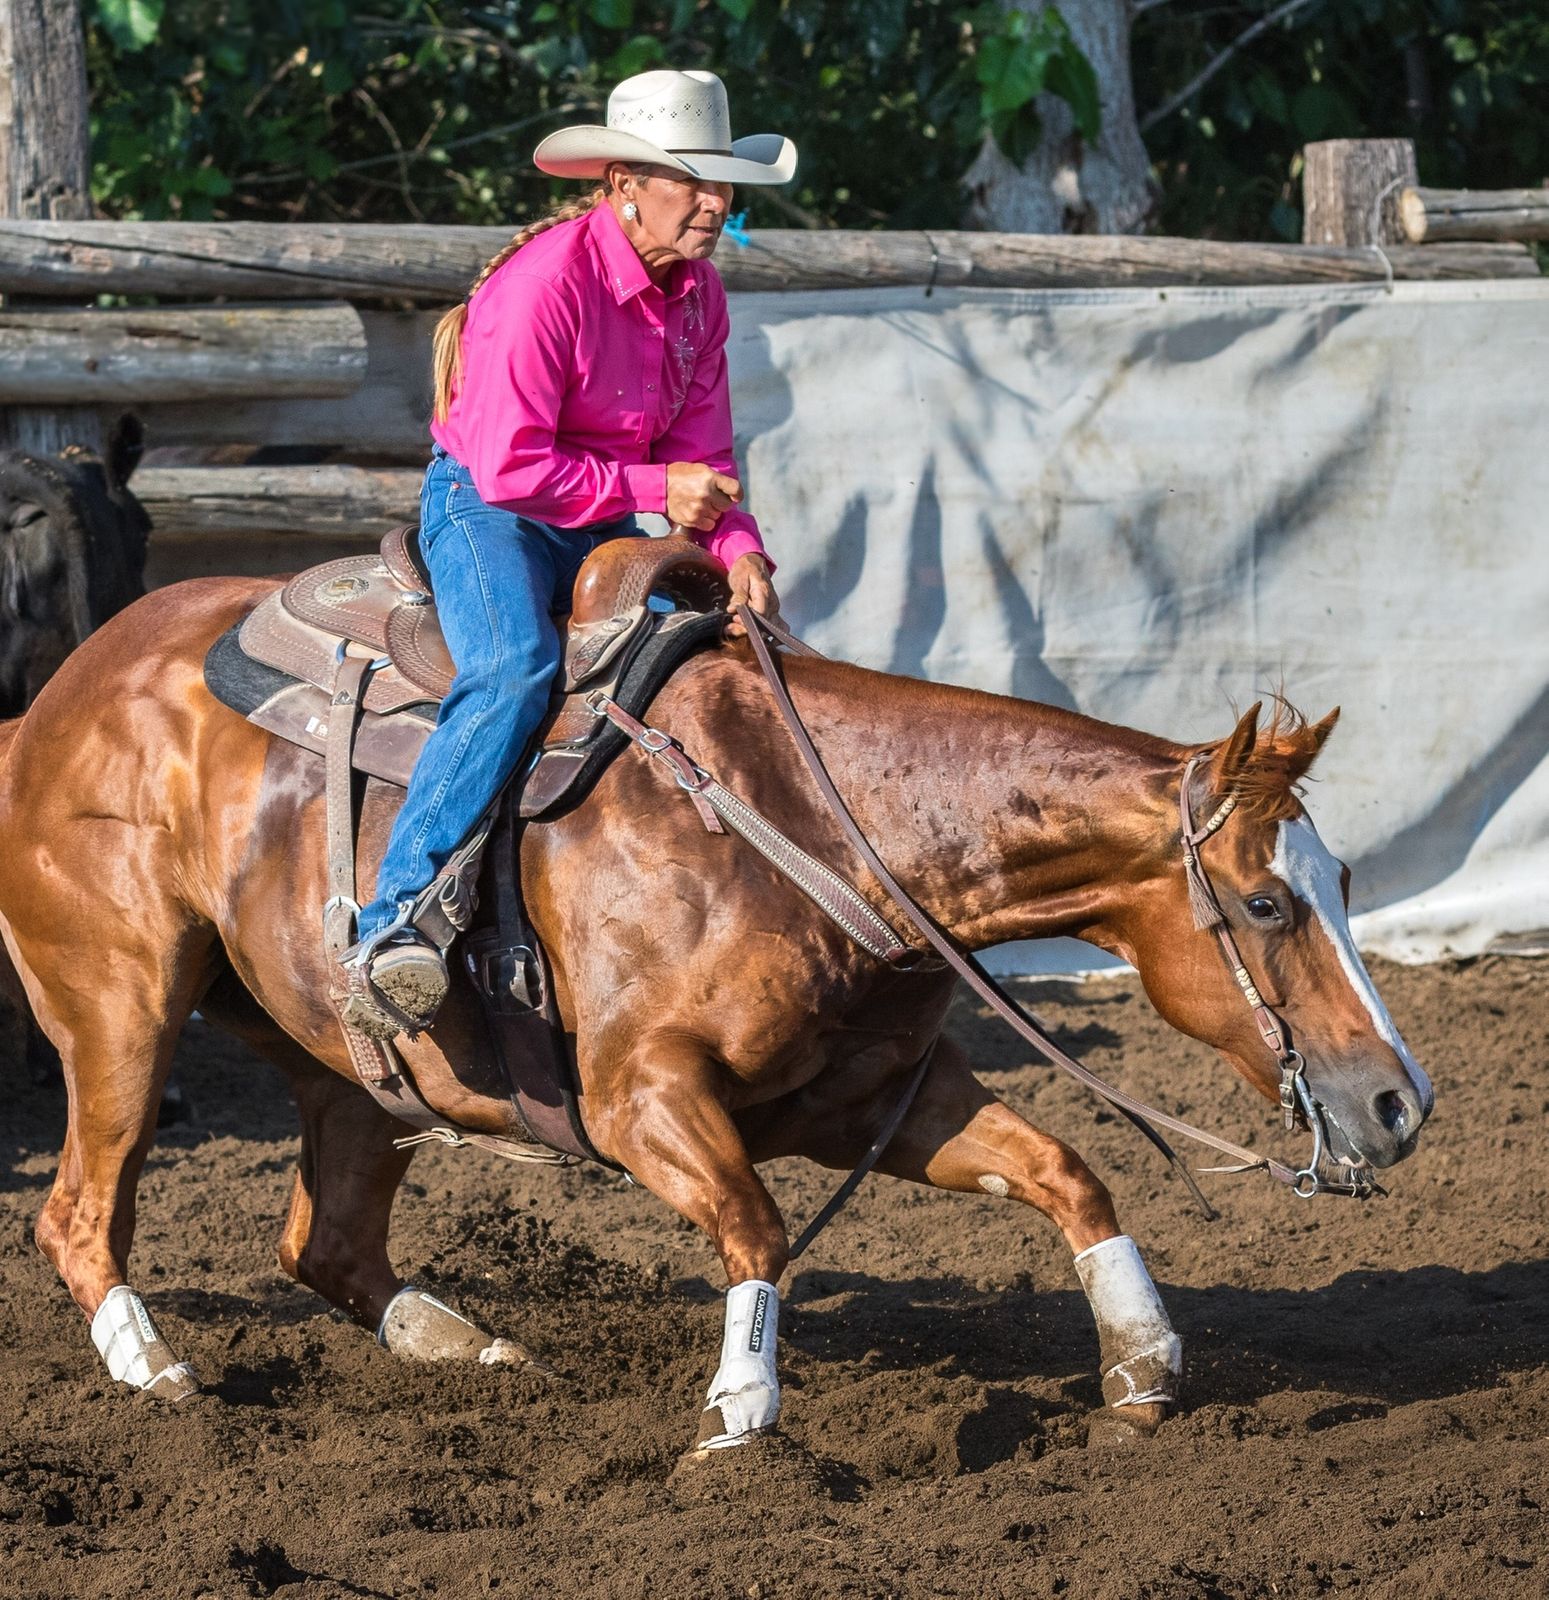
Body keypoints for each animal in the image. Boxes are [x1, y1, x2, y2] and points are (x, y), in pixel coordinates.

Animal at [0, 560, 1433, 1452]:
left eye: (1346, 881)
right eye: (1267, 905)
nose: (1398, 1102)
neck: (811, 826)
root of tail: (58, 694)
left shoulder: (877, 1099)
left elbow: (1067, 1173)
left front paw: (1143, 1369)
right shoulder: (640, 1096)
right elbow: (756, 1227)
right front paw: (737, 1413)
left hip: (351, 1072)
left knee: (325, 1241)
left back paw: (466, 1346)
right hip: (123, 1005)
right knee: (79, 1211)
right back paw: (158, 1371)